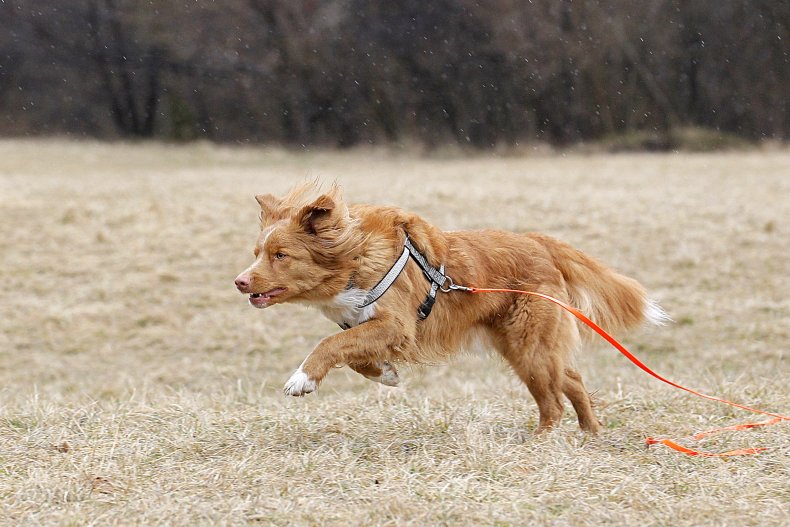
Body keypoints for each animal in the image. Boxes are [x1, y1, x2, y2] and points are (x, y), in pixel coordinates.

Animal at [235, 182, 668, 434]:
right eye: (257, 253)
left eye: (281, 255)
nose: (240, 282)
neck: (355, 258)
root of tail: (538, 242)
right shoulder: (369, 327)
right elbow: (353, 354)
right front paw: (384, 374)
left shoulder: (397, 325)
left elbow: (328, 344)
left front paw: (302, 379)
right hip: (524, 347)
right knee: (572, 380)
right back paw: (590, 432)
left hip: (528, 346)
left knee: (554, 401)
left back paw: (540, 440)